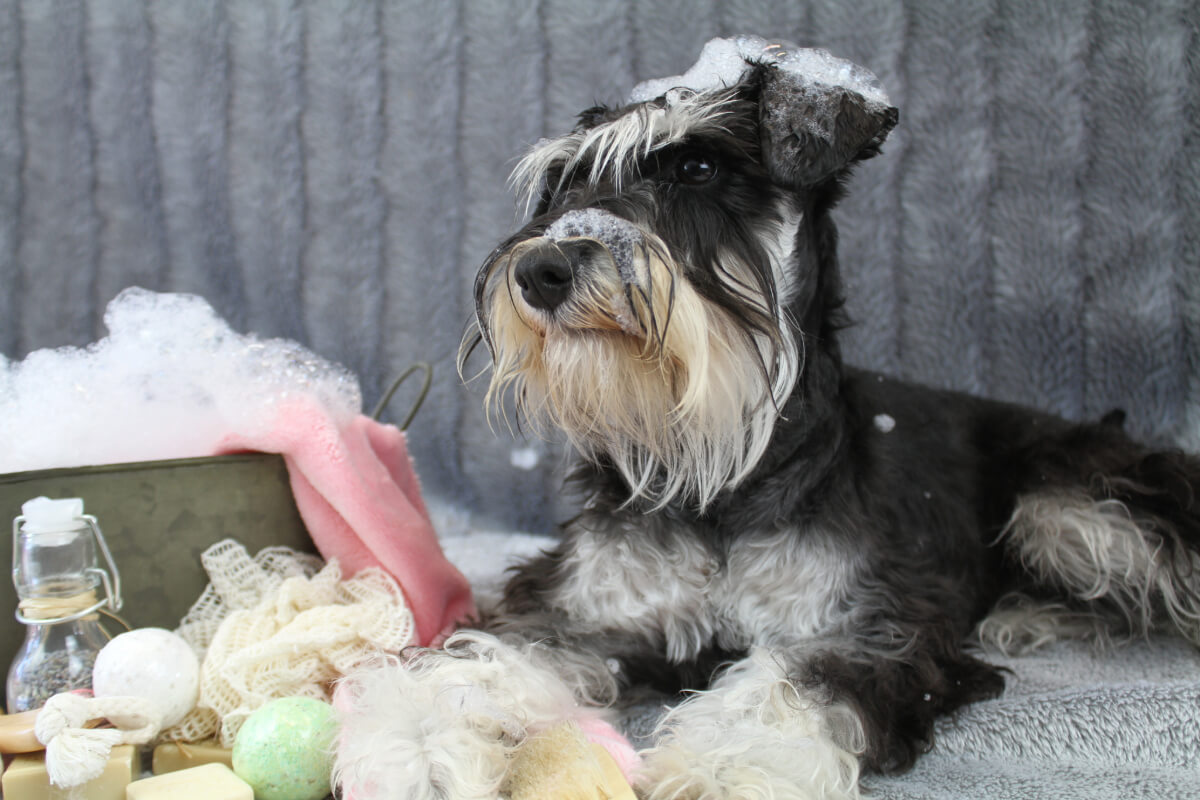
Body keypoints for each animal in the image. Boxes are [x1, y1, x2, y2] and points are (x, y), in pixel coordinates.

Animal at [336, 35, 1200, 796]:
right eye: (563, 184)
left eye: (698, 166)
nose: (542, 269)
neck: (718, 473)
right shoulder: (577, 608)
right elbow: (485, 660)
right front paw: (410, 744)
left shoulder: (865, 628)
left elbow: (793, 685)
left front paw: (720, 768)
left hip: (1072, 503)